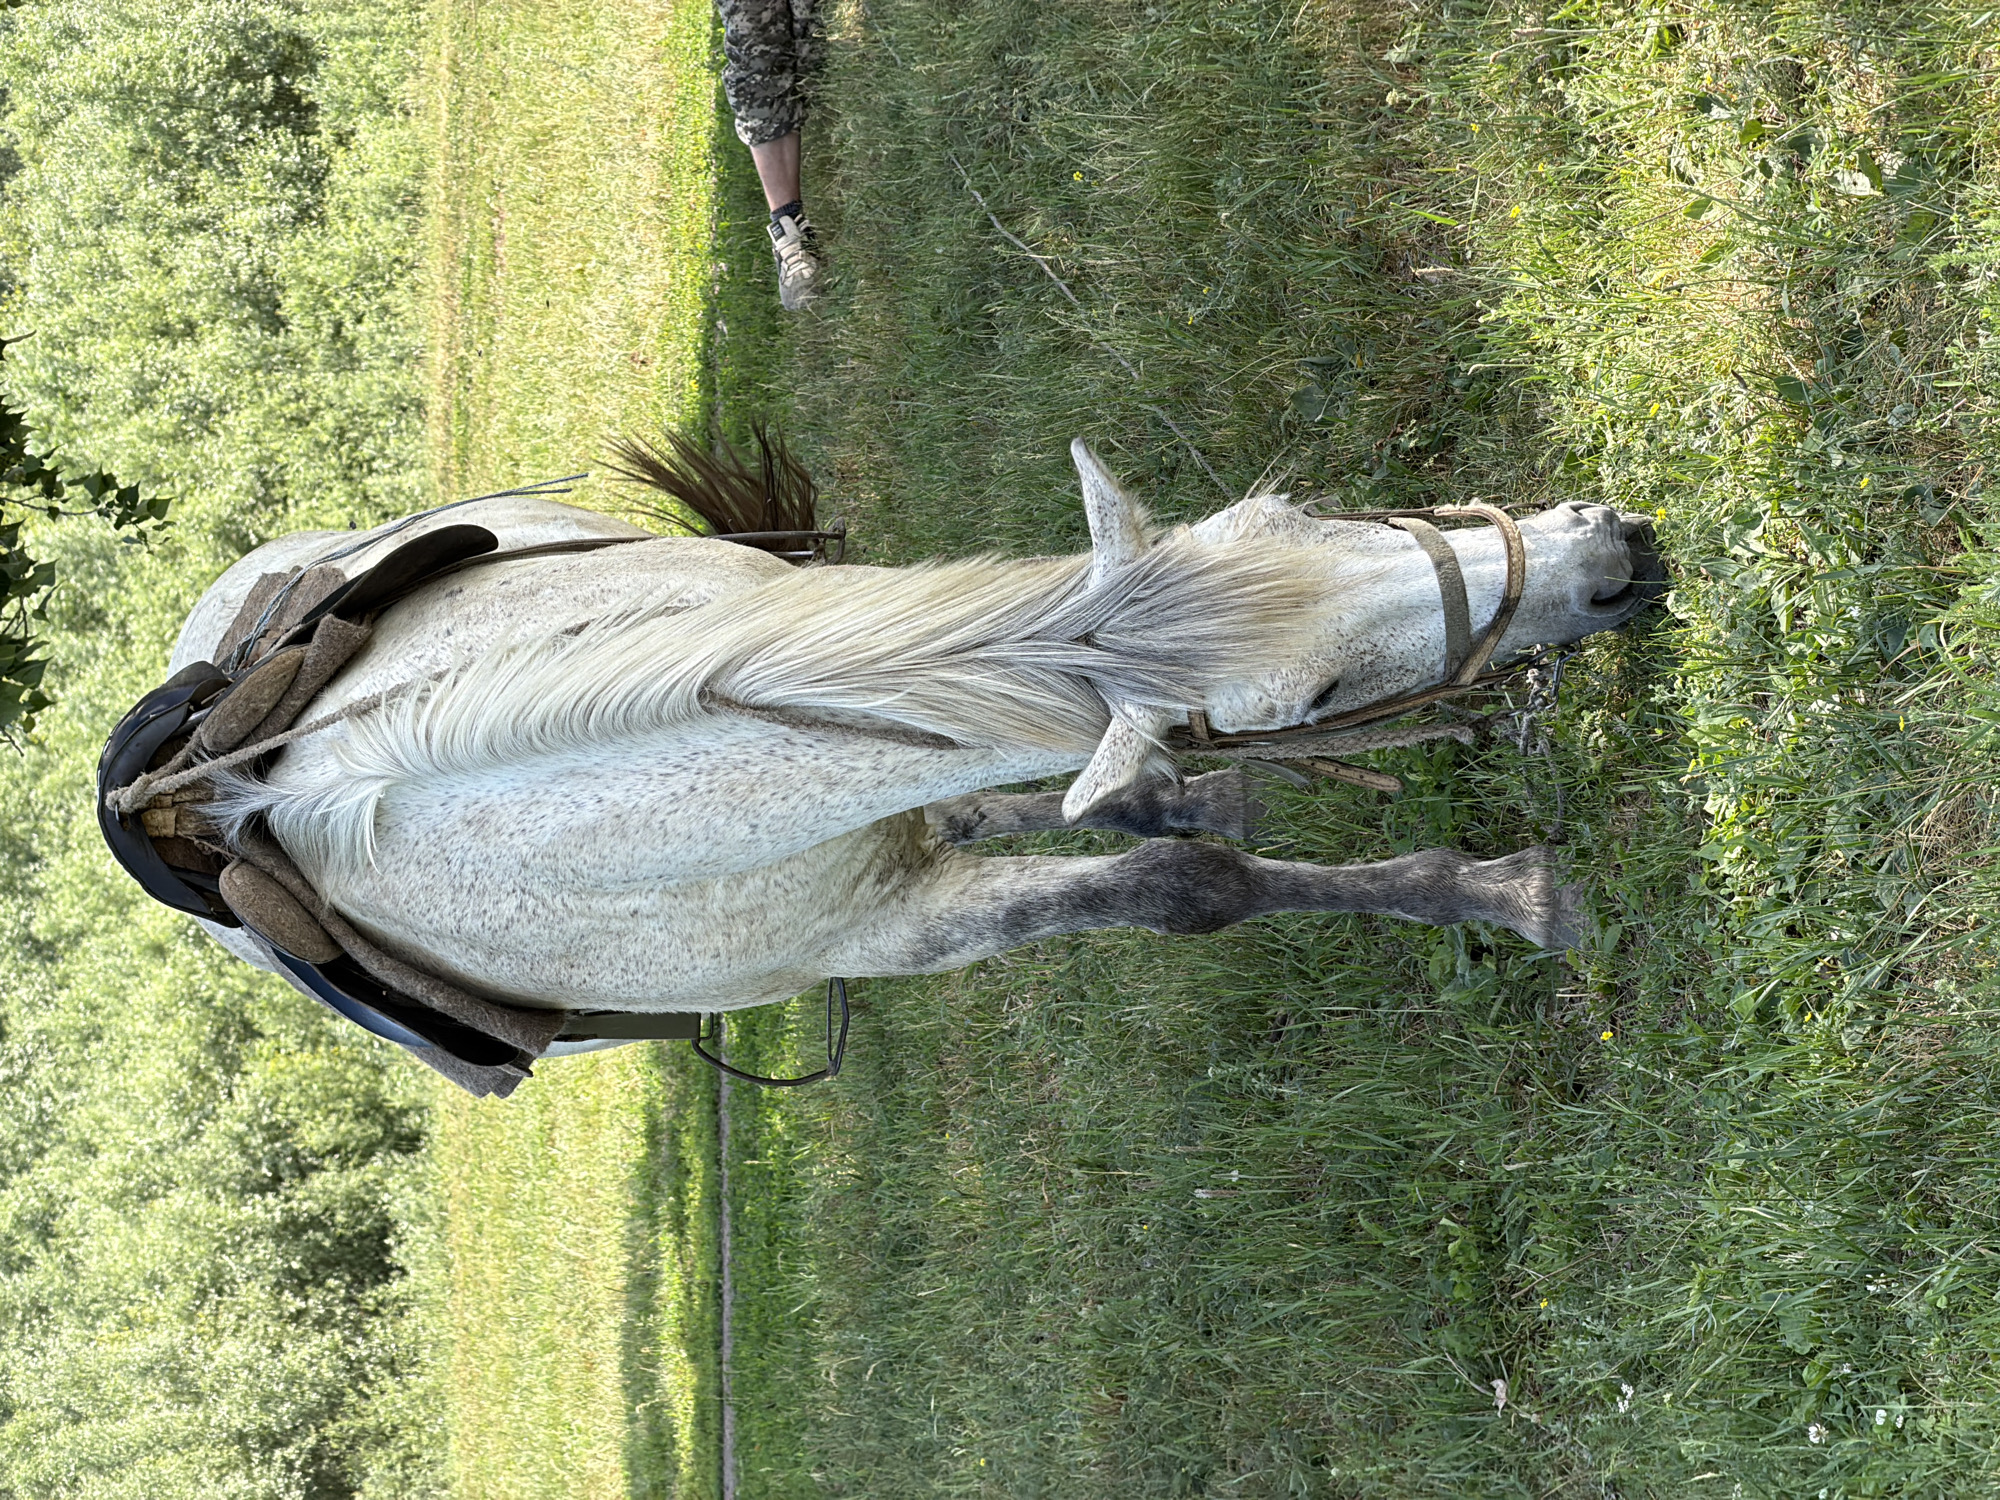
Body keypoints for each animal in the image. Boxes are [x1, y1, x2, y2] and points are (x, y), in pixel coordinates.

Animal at [108, 437, 1662, 1094]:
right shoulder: (890, 931)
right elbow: (1188, 891)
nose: (1610, 559)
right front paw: (1514, 896)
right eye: (1315, 690)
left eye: (1299, 513)